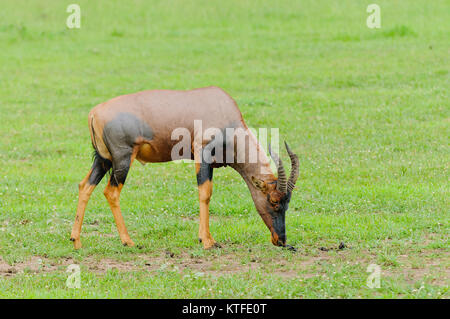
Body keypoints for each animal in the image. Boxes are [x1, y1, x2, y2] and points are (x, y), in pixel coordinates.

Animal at [71, 87, 298, 250]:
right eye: (273, 201)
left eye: (287, 203)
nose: (281, 241)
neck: (221, 108)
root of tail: (94, 113)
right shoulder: (202, 153)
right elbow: (205, 193)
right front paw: (207, 241)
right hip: (122, 159)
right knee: (111, 192)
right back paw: (128, 241)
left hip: (103, 159)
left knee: (85, 186)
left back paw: (76, 241)